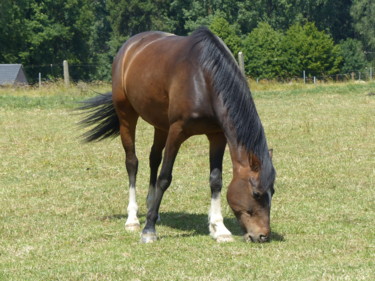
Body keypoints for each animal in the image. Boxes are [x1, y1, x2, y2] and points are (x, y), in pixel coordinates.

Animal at [79, 26, 276, 243]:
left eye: (273, 191)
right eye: (256, 193)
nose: (262, 235)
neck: (203, 78)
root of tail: (129, 46)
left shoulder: (217, 135)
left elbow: (216, 180)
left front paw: (219, 228)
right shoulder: (177, 131)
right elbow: (165, 177)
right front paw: (149, 230)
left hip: (160, 124)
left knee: (153, 158)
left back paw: (151, 206)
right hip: (126, 115)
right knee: (132, 163)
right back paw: (133, 219)